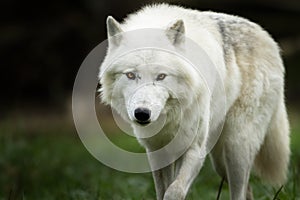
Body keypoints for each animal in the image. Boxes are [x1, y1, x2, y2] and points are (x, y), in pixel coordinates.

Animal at [99, 3, 290, 200]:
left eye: (161, 76)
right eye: (130, 75)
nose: (142, 114)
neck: (171, 116)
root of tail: (268, 38)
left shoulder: (196, 149)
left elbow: (174, 191)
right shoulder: (157, 151)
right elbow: (163, 191)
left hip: (236, 148)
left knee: (239, 190)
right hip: (220, 163)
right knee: (248, 189)